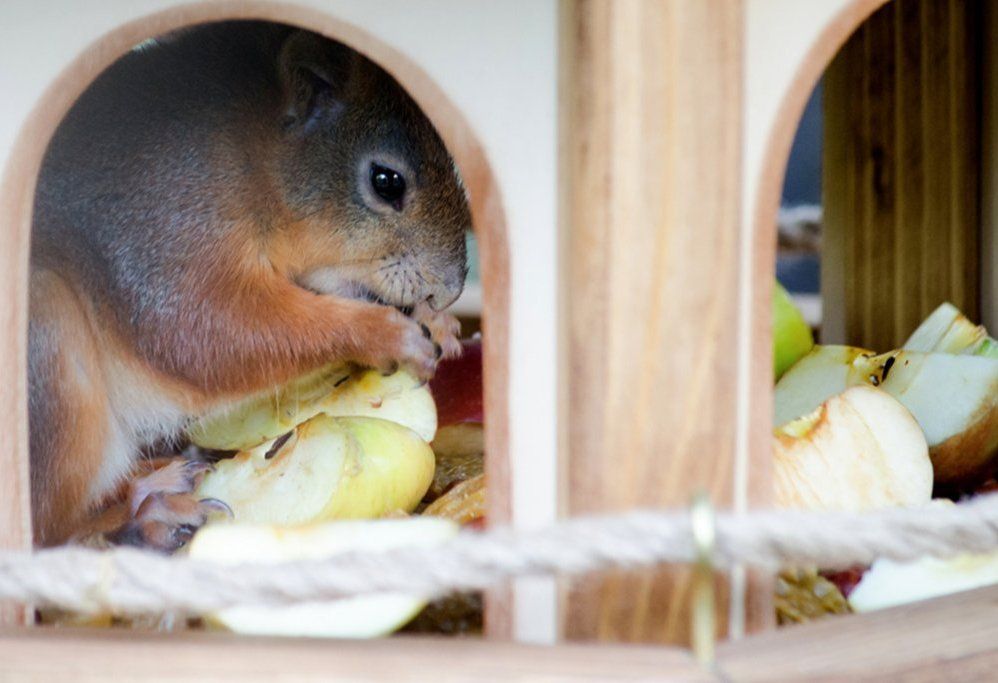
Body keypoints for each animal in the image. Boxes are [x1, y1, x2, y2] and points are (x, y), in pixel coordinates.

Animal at [29, 21, 470, 552]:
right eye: (386, 181)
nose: (449, 288)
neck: (254, 163)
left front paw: (439, 324)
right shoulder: (164, 224)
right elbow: (204, 331)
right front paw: (384, 333)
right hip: (47, 340)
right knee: (48, 529)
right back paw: (148, 512)